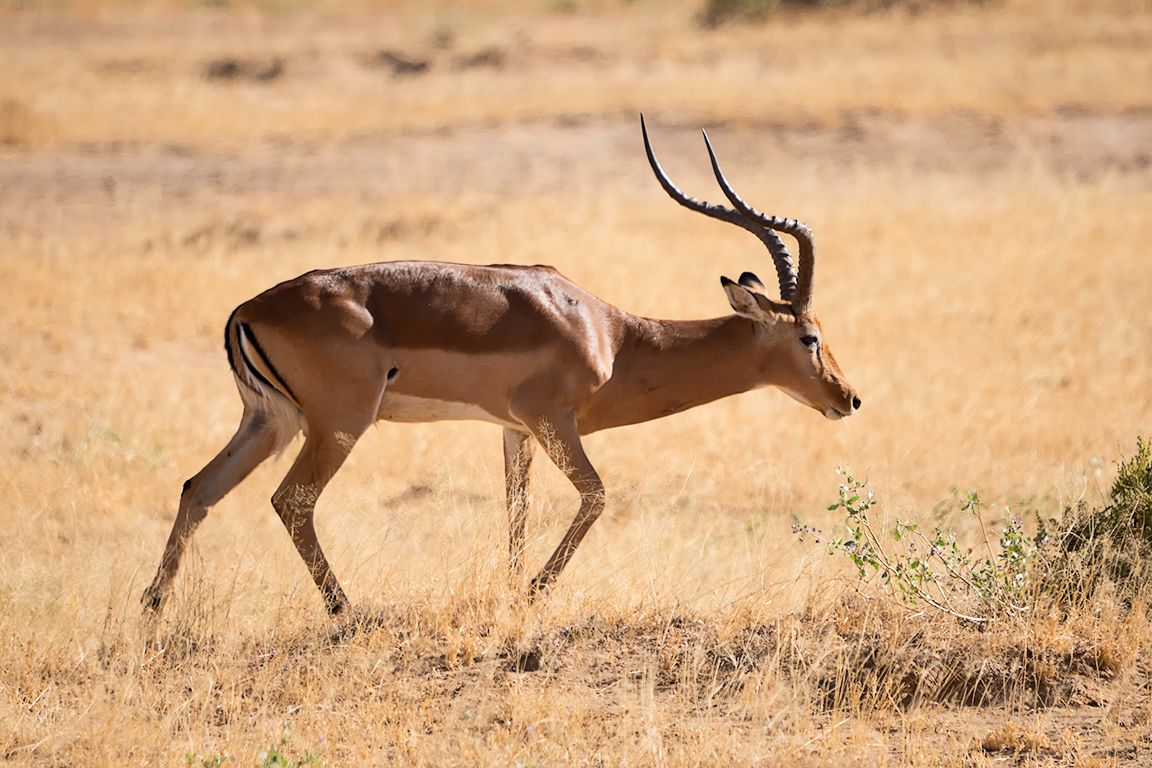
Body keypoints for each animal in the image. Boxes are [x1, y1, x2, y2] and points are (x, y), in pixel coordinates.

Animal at [141, 116, 861, 617]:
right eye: (810, 337)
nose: (848, 398)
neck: (612, 337)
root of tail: (247, 309)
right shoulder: (552, 422)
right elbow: (596, 496)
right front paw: (535, 593)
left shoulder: (514, 431)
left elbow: (515, 511)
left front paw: (511, 595)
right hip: (337, 425)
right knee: (291, 500)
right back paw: (346, 610)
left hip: (270, 422)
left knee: (196, 489)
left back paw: (151, 617)